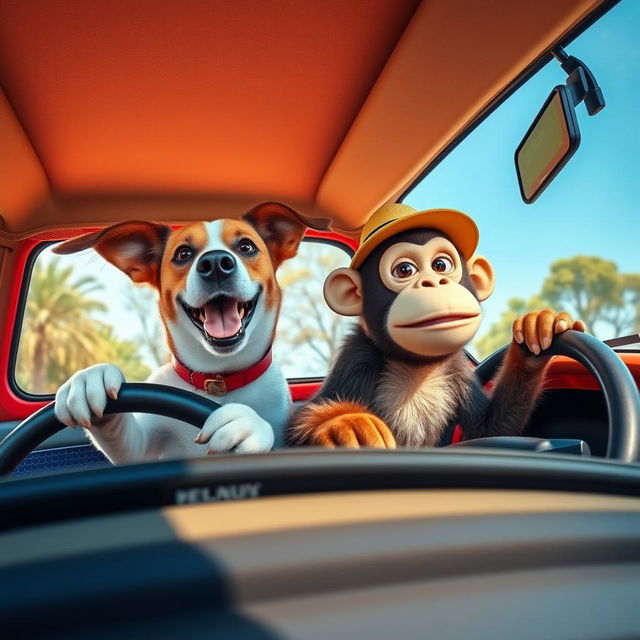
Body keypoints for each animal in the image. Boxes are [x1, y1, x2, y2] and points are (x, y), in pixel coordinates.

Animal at [52, 202, 330, 462]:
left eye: (246, 247)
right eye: (183, 253)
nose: (216, 263)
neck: (220, 381)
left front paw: (247, 423)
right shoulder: (141, 449)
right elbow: (127, 442)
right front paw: (91, 378)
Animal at [288, 206, 584, 450]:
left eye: (441, 265)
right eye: (404, 270)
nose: (435, 282)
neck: (417, 368)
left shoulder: (458, 370)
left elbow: (490, 429)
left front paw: (535, 335)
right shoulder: (357, 356)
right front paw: (340, 423)